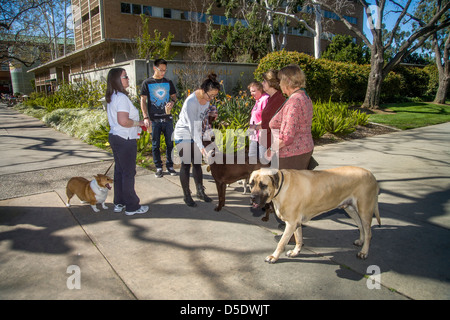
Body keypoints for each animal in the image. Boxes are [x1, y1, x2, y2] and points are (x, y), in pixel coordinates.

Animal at [250, 168, 380, 262]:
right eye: (251, 184)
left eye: (263, 185)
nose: (252, 197)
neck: (282, 187)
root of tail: (372, 175)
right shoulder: (296, 223)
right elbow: (298, 238)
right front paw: (295, 252)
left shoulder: (291, 223)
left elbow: (281, 243)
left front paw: (274, 256)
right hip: (350, 209)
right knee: (360, 226)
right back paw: (361, 241)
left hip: (365, 210)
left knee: (369, 233)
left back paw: (364, 252)